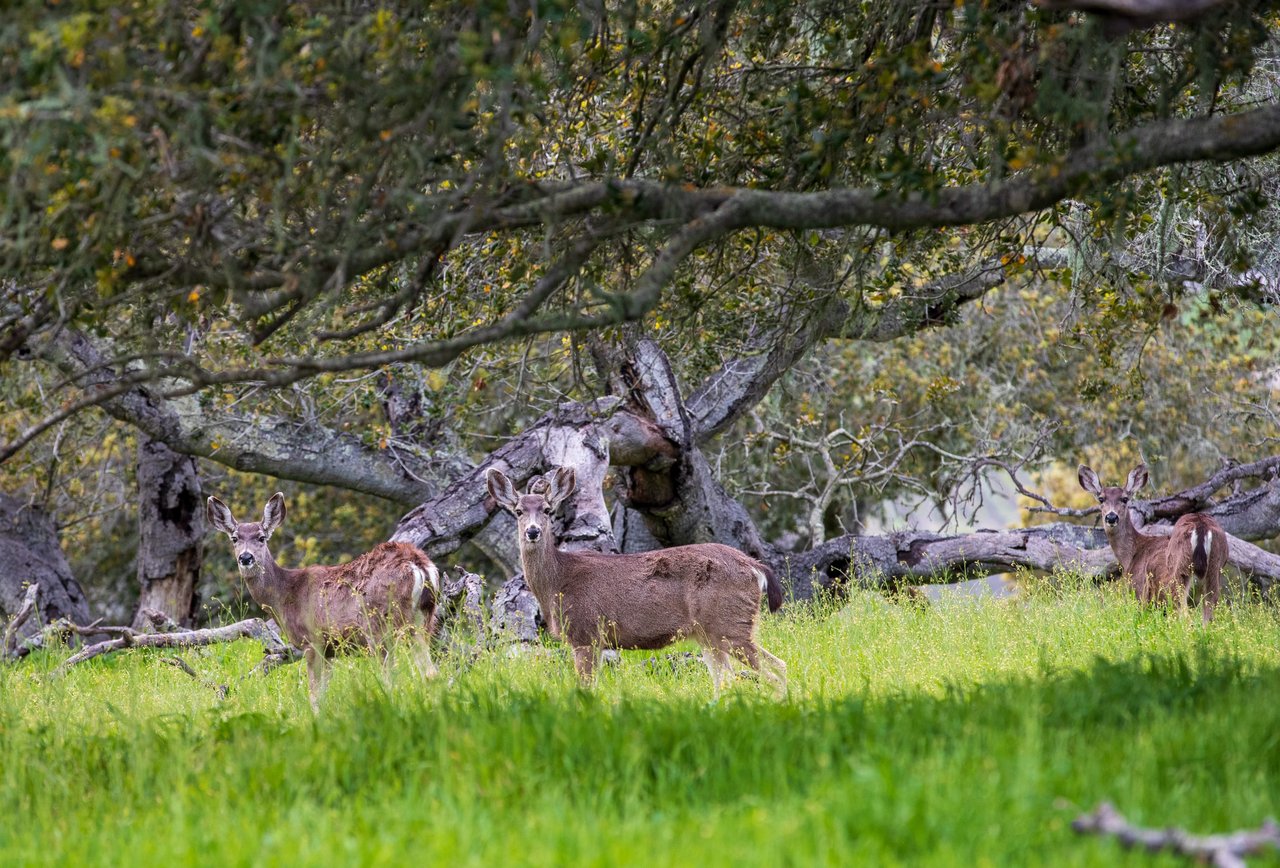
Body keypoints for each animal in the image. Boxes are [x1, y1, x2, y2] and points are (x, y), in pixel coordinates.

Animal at [207, 494, 442, 711]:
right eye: (234, 538)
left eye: (261, 537)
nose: (246, 558)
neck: (285, 595)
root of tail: (418, 564)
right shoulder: (331, 649)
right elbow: (323, 694)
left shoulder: (312, 641)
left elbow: (314, 695)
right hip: (424, 618)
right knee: (429, 672)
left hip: (381, 626)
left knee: (393, 679)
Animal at [483, 468, 783, 701]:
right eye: (518, 511)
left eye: (547, 510)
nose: (532, 531)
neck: (557, 583)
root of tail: (755, 566)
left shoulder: (586, 632)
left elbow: (586, 689)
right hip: (710, 634)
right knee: (730, 680)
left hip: (729, 623)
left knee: (777, 670)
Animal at [1080, 463, 1228, 624]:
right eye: (1101, 499)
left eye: (1125, 499)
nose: (1111, 517)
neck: (1131, 554)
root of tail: (1201, 526)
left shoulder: (1139, 589)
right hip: (1215, 569)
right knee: (1209, 611)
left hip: (1178, 574)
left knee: (1184, 614)